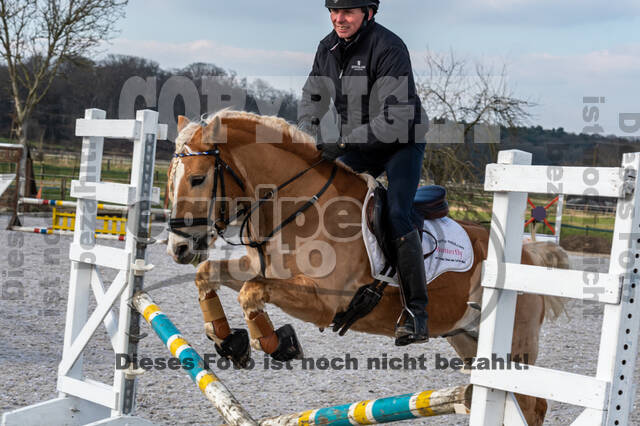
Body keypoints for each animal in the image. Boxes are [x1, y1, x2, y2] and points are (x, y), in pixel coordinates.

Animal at [168, 110, 568, 426]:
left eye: (198, 178)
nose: (178, 247)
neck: (298, 207)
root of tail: (528, 255)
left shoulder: (323, 302)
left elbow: (251, 292)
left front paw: (277, 343)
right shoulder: (261, 269)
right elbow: (209, 275)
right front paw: (228, 340)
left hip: (514, 348)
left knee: (533, 405)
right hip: (467, 338)